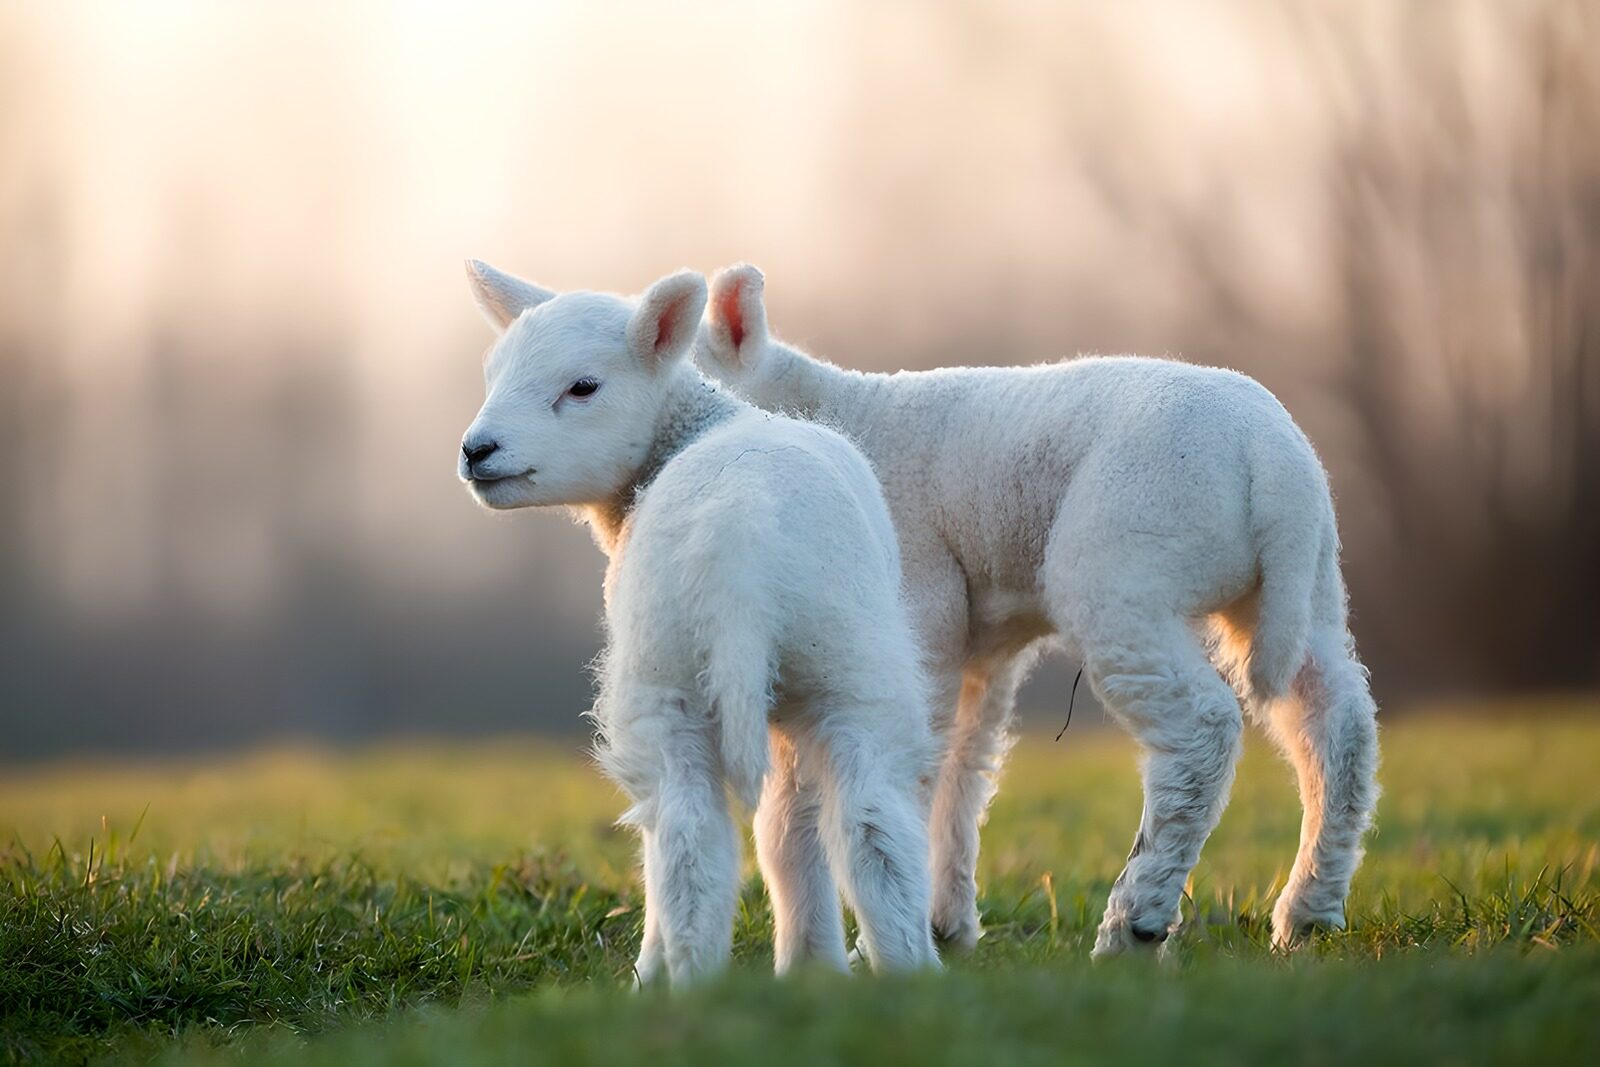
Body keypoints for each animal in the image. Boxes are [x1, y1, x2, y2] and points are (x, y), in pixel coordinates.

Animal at [458, 262, 941, 986]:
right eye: (493, 374)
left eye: (583, 386)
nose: (476, 450)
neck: (695, 426)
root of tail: (738, 542)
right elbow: (788, 830)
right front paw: (812, 968)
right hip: (830, 664)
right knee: (861, 823)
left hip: (674, 672)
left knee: (693, 836)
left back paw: (673, 979)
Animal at [696, 264, 1380, 956]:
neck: (823, 410)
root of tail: (1270, 461)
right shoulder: (977, 650)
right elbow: (961, 770)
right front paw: (945, 925)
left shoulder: (918, 612)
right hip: (1303, 587)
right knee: (1337, 723)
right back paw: (1308, 913)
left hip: (1123, 571)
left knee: (1202, 731)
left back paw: (1134, 924)